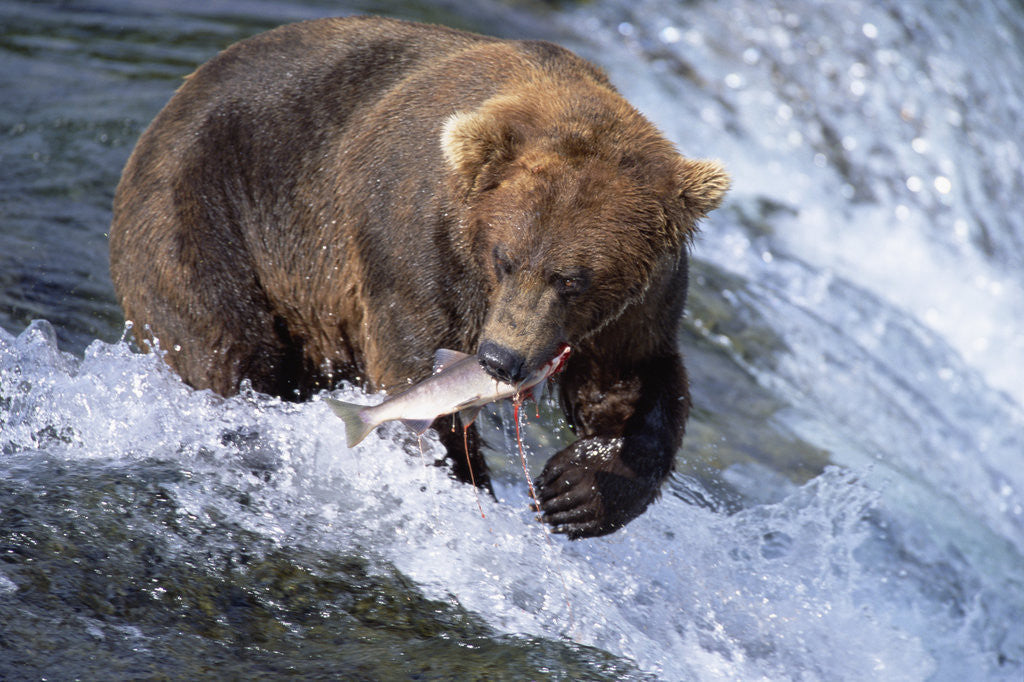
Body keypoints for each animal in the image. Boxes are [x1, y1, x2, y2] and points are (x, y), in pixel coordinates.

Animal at [110, 14, 729, 536]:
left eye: (573, 280)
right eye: (505, 257)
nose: (500, 359)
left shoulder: (638, 304)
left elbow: (632, 382)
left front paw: (577, 490)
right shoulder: (414, 250)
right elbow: (415, 371)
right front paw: (457, 478)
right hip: (209, 223)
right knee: (226, 351)